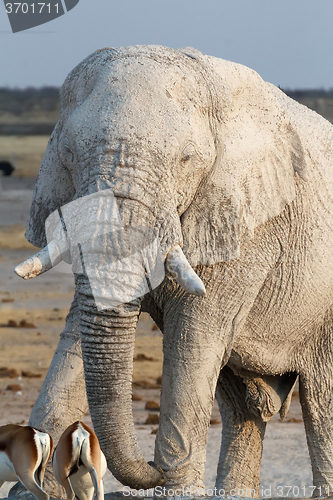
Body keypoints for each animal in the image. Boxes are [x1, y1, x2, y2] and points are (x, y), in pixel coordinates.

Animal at [14, 46, 333, 496]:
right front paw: (32, 487)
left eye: (186, 159)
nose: (150, 467)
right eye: (70, 155)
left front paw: (176, 486)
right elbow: (80, 328)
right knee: (241, 408)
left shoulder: (249, 228)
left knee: (322, 403)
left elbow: (194, 332)